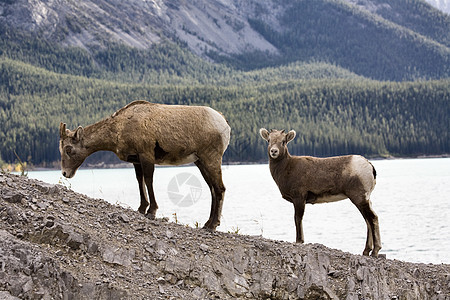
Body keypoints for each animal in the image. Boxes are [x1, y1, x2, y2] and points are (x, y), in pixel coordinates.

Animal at [59, 101, 230, 230]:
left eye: (69, 149)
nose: (65, 173)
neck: (119, 129)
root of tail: (225, 125)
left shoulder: (146, 155)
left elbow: (148, 180)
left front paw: (151, 212)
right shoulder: (136, 160)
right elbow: (139, 180)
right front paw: (142, 208)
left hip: (211, 158)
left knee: (220, 188)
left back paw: (212, 225)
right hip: (200, 161)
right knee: (212, 188)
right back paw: (207, 223)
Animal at [258, 127, 382, 256]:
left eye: (283, 141)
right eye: (268, 140)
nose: (274, 151)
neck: (286, 169)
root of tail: (370, 167)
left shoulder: (299, 198)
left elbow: (297, 218)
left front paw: (299, 240)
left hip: (359, 197)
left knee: (372, 218)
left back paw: (375, 251)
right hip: (364, 199)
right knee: (368, 220)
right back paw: (366, 251)